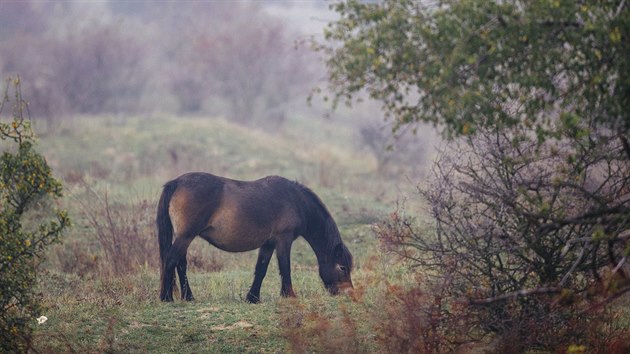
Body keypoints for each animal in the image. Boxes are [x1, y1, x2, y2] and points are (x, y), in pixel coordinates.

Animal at [157, 171, 356, 302]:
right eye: (342, 267)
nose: (349, 294)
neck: (296, 201)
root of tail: (177, 182)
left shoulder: (268, 244)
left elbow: (261, 269)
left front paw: (253, 297)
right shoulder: (284, 239)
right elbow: (285, 267)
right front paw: (290, 295)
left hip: (184, 237)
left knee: (180, 264)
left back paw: (188, 297)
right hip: (186, 236)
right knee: (171, 260)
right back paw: (166, 297)